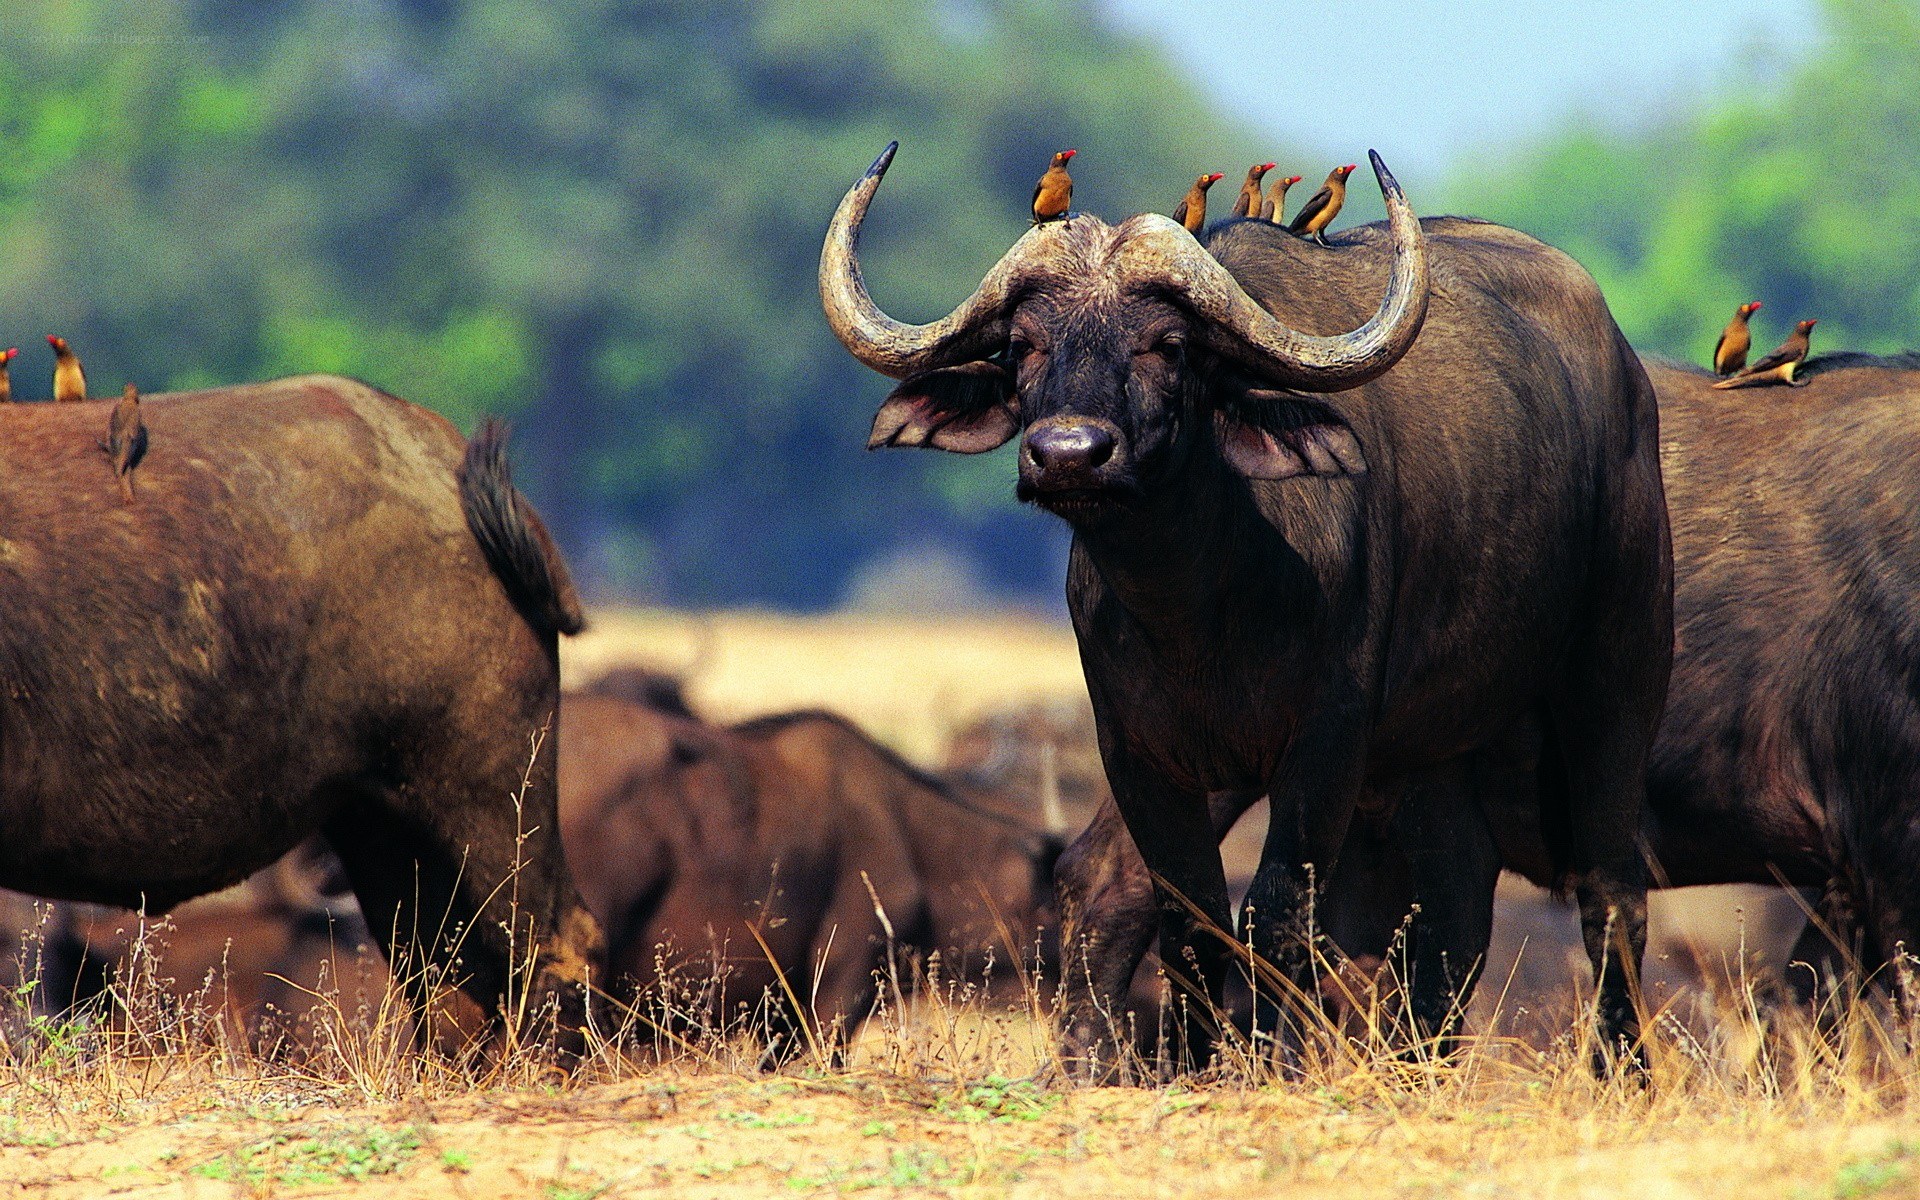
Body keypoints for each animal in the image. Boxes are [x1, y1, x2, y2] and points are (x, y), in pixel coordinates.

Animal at [821, 144, 1673, 1074]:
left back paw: (1621, 1067)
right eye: (1021, 344)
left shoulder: (1328, 740)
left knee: (1609, 887)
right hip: (1427, 745)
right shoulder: (1138, 745)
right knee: (1443, 900)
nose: (1070, 454)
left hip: (1618, 671)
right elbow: (1189, 910)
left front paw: (1270, 1061)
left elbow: (1274, 912)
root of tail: (1627, 378)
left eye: (1167, 346)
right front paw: (1193, 1063)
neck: (1199, 603)